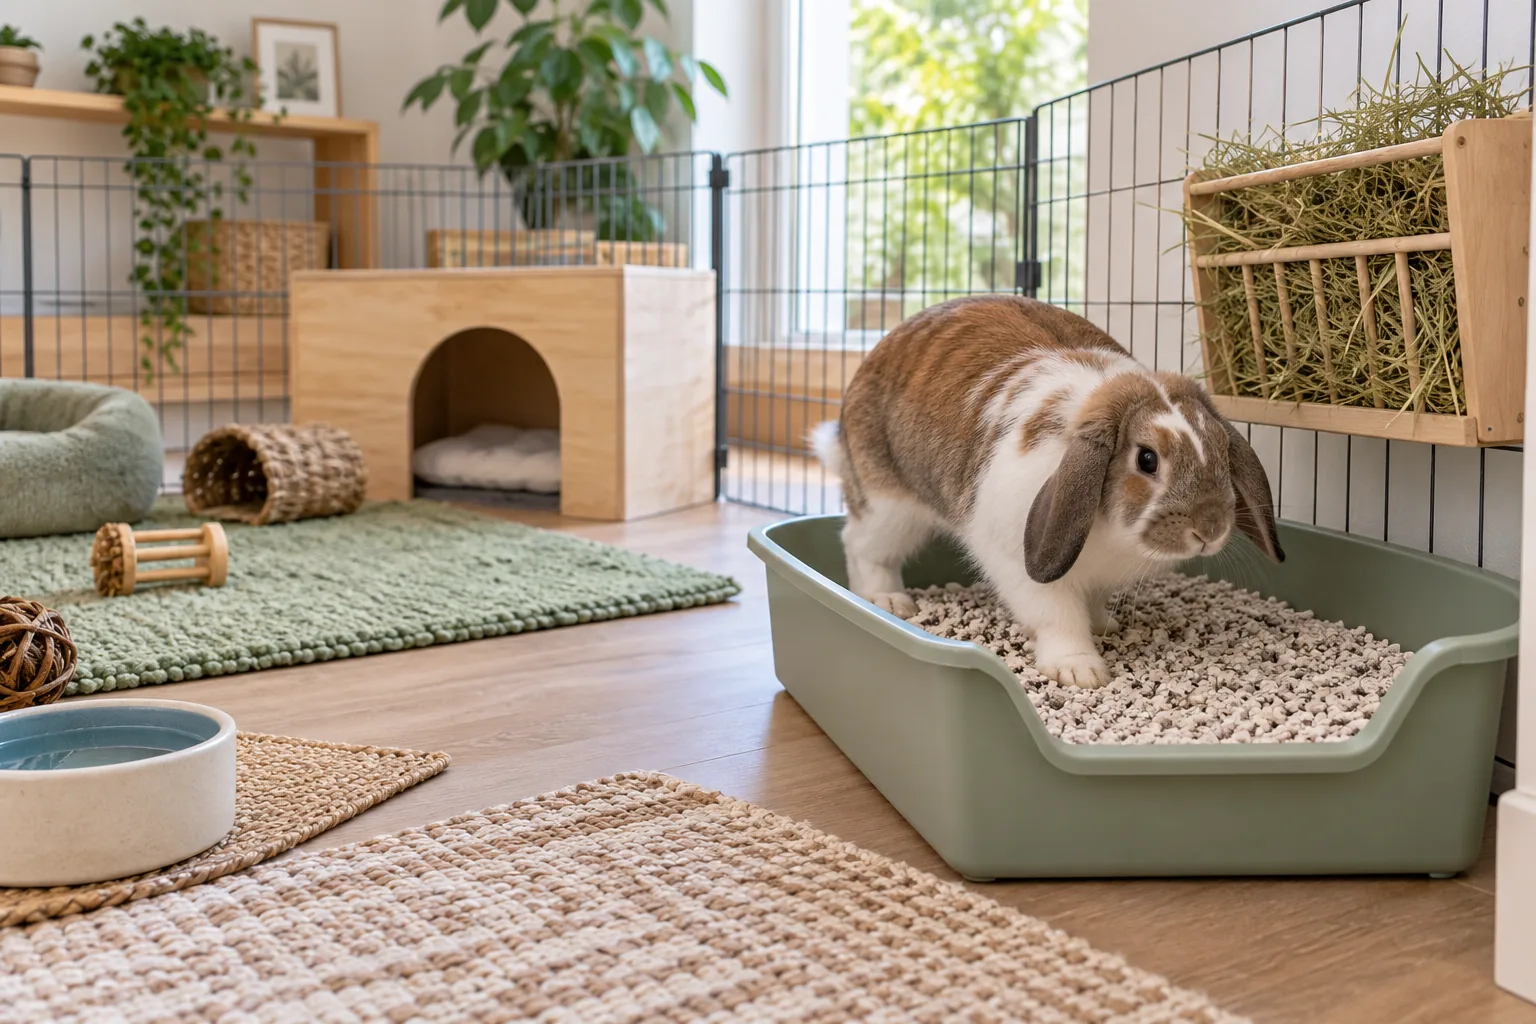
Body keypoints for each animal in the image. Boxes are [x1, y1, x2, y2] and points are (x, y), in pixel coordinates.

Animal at [810, 293, 1283, 688]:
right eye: (1147, 459)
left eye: (1221, 448)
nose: (1210, 529)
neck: (1111, 531)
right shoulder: (1025, 569)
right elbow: (1059, 620)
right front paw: (1079, 670)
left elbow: (1092, 605)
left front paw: (1105, 626)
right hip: (889, 505)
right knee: (861, 546)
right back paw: (888, 600)